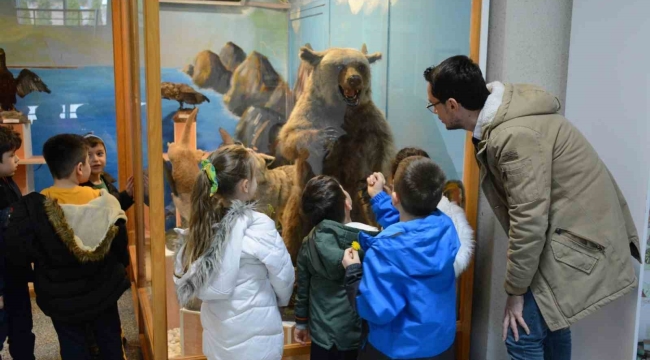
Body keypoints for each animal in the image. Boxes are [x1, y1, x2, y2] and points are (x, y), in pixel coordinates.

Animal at [276, 44, 392, 262]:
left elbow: (383, 146)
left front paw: (375, 182)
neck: (342, 110)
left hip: (355, 205)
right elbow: (290, 138)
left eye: (360, 66)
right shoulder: (309, 111)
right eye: (339, 66)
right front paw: (326, 139)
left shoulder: (367, 119)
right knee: (292, 233)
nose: (354, 79)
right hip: (298, 206)